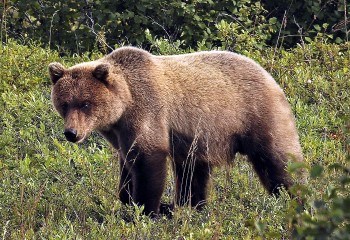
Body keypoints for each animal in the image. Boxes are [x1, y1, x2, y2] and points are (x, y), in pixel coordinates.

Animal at [49, 46, 304, 217]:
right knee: (193, 173)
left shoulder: (147, 112)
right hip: (199, 139)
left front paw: (148, 209)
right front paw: (135, 199)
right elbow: (127, 165)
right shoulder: (120, 133)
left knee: (277, 160)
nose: (71, 133)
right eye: (65, 103)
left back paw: (294, 198)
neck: (124, 106)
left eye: (85, 103)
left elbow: (148, 161)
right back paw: (189, 206)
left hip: (256, 114)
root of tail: (269, 75)